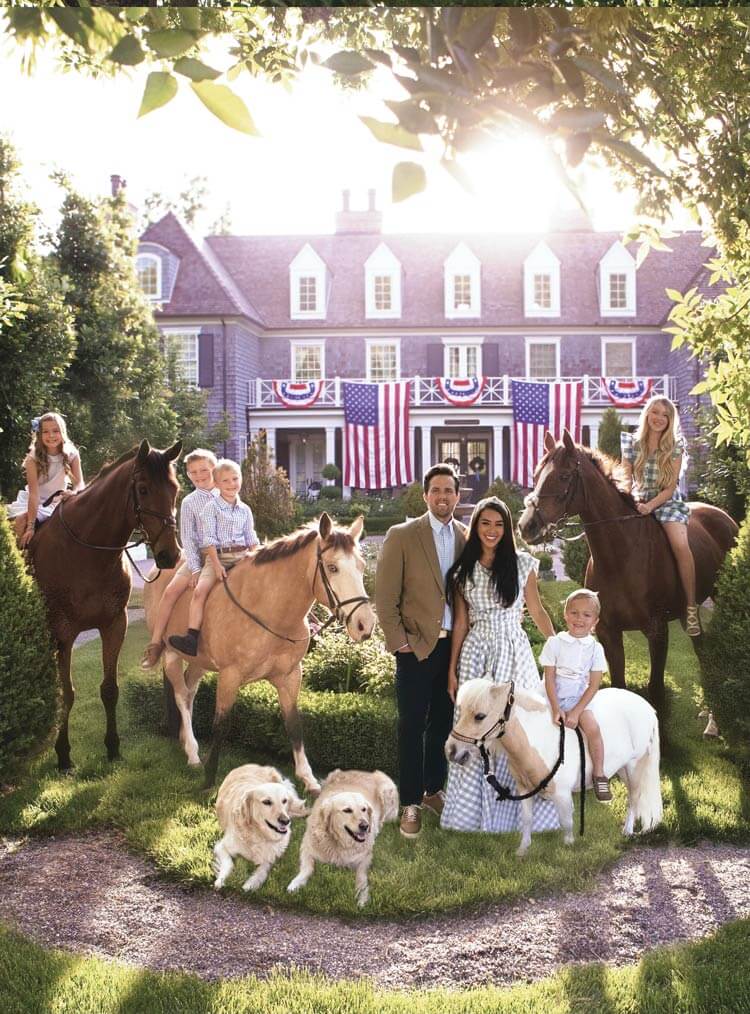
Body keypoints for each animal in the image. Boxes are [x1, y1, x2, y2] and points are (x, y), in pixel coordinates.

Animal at [28, 440, 183, 770]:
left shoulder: (114, 625)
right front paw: (63, 754)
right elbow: (68, 693)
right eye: (143, 489)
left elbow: (110, 689)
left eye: (175, 489)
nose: (170, 555)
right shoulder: (64, 633)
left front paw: (113, 748)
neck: (87, 552)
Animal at [142, 515, 375, 790]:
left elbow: (294, 724)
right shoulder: (229, 676)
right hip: (171, 654)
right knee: (181, 696)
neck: (268, 611)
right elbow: (221, 724)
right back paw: (192, 751)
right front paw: (209, 778)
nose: (365, 625)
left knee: (189, 693)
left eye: (361, 566)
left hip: (199, 661)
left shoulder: (290, 677)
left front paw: (308, 778)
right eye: (332, 567)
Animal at [445, 681, 660, 855]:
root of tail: (648, 707)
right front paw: (522, 850)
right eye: (461, 712)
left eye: (480, 716)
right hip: (622, 768)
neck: (539, 739)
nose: (450, 751)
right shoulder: (524, 789)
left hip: (633, 766)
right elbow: (527, 819)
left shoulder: (562, 794)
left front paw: (568, 846)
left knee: (634, 797)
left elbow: (566, 822)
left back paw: (627, 831)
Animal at [518, 431, 733, 717]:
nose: (526, 526)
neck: (622, 556)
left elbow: (656, 691)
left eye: (563, 476)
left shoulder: (657, 632)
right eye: (536, 474)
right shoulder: (608, 632)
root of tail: (723, 515)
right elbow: (619, 685)